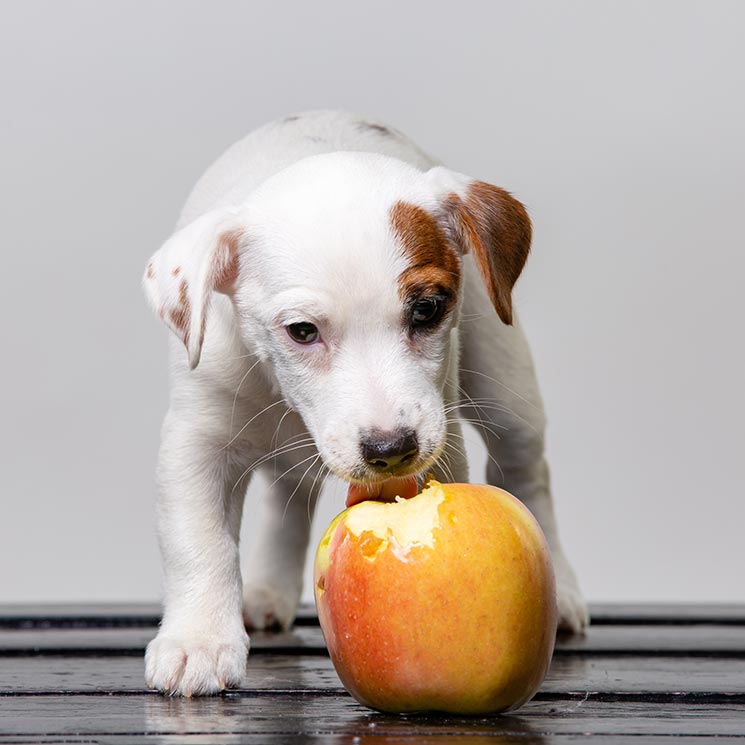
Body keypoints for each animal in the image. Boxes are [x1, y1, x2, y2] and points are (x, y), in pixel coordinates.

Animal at [141, 110, 588, 696]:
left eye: (428, 308)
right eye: (302, 331)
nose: (390, 449)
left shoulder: (440, 438)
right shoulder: (196, 443)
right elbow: (198, 542)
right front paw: (198, 641)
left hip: (506, 382)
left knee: (525, 470)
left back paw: (563, 588)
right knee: (288, 500)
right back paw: (267, 591)